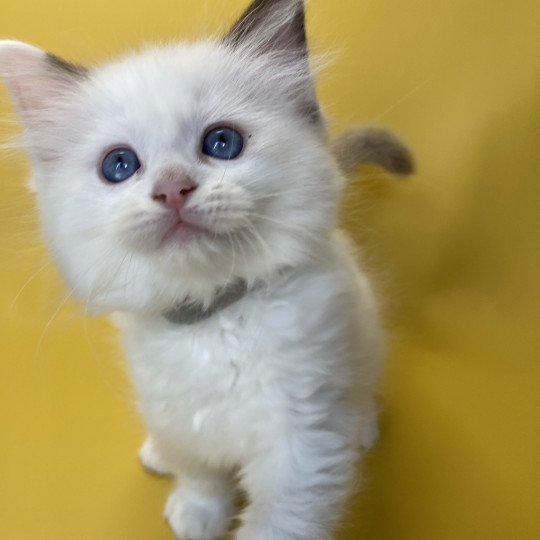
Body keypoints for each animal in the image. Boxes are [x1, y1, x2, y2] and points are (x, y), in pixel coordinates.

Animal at [0, 1, 412, 540]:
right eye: (119, 165)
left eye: (221, 143)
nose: (173, 188)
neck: (210, 315)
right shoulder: (176, 412)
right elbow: (199, 472)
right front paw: (196, 514)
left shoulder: (301, 448)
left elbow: (276, 523)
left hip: (363, 346)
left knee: (363, 390)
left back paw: (362, 428)